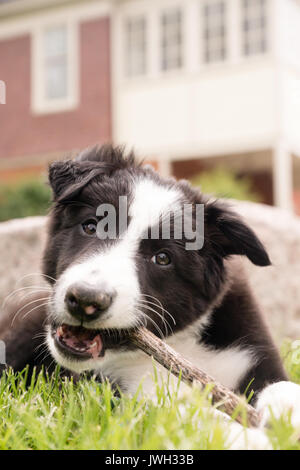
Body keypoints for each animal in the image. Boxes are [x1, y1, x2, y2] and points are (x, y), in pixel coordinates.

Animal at [0, 145, 300, 438]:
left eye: (163, 258)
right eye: (90, 227)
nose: (85, 299)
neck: (180, 343)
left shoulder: (257, 356)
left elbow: (282, 388)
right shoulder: (133, 394)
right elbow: (198, 417)